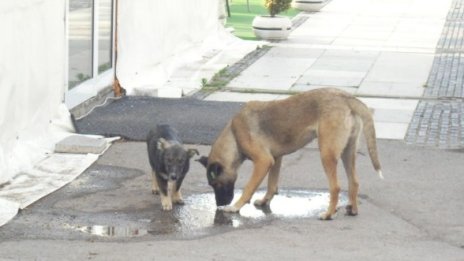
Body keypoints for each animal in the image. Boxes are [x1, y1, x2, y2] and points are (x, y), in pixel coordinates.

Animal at [198, 88, 382, 219]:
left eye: (216, 184)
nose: (218, 205)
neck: (233, 135)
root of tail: (346, 97)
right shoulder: (275, 159)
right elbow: (271, 185)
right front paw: (265, 201)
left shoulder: (263, 161)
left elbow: (249, 187)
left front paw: (236, 207)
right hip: (347, 153)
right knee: (354, 182)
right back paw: (353, 209)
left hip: (327, 154)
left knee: (335, 187)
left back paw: (328, 214)